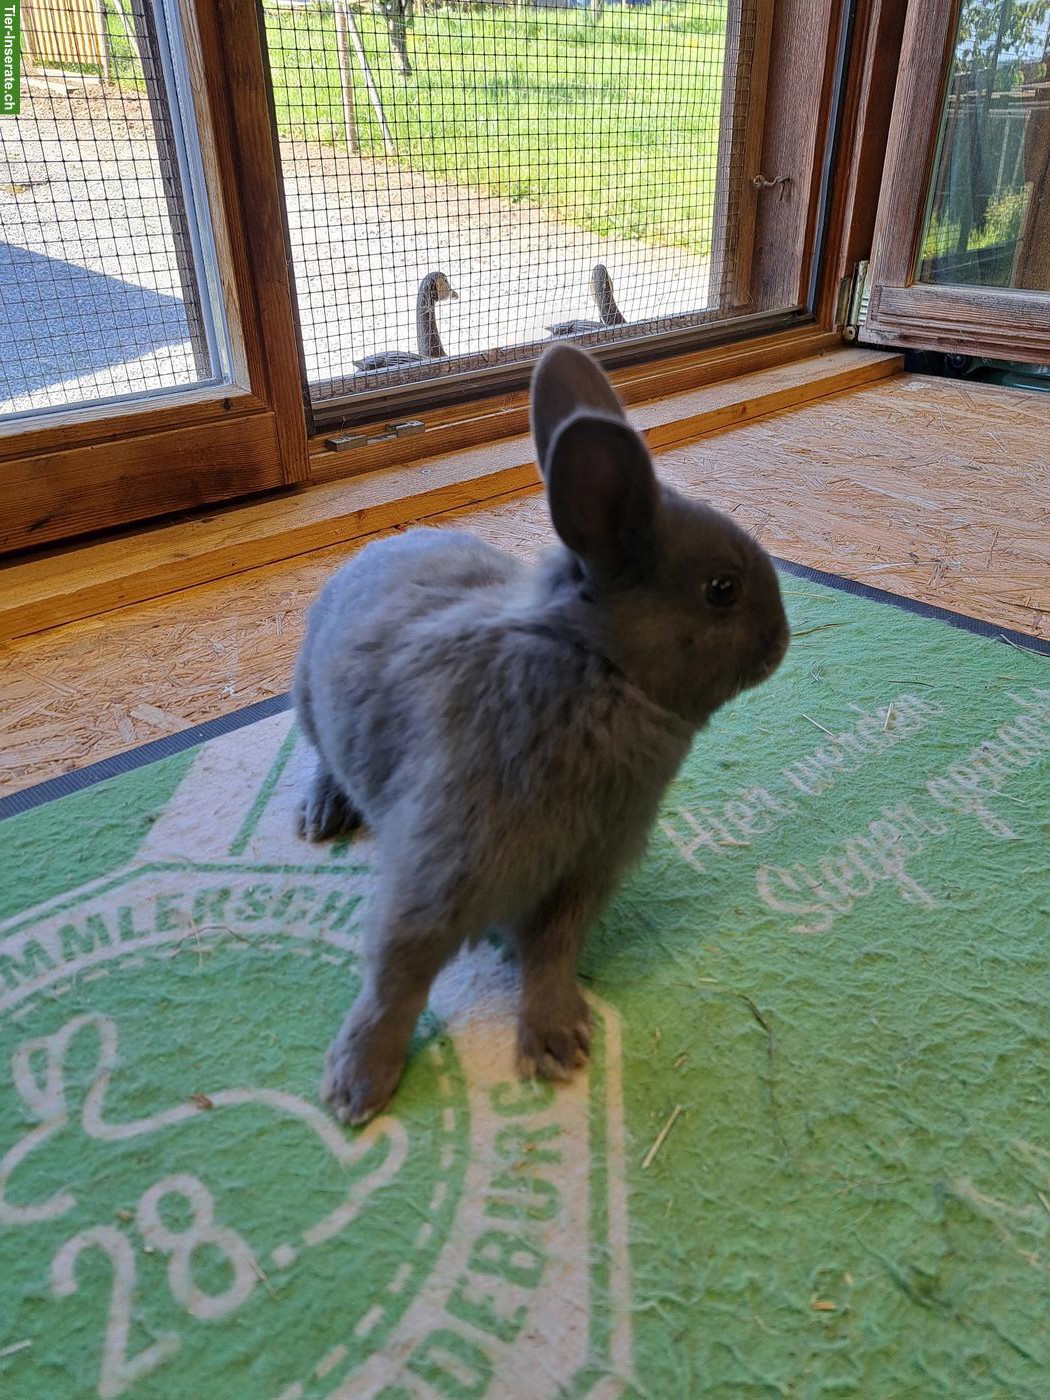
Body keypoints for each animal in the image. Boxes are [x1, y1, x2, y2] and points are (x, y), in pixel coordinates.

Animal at [293, 343, 790, 1125]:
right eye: (722, 591)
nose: (782, 639)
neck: (597, 669)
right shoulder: (436, 870)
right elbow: (396, 975)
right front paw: (356, 1086)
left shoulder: (580, 877)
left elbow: (552, 955)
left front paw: (557, 1041)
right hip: (311, 705)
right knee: (318, 757)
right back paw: (323, 814)